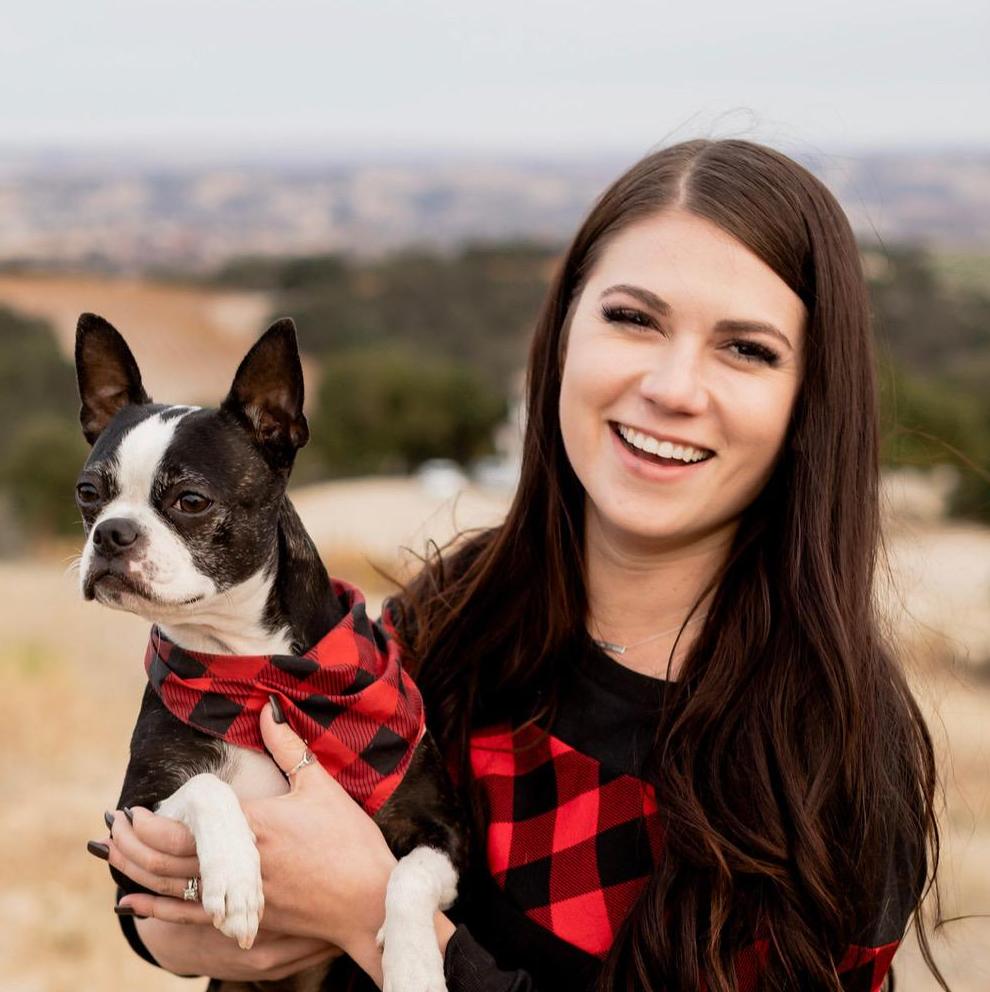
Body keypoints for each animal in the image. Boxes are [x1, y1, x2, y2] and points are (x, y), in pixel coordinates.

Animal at [75, 313, 466, 992]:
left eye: (191, 501)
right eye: (87, 494)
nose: (110, 533)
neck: (253, 668)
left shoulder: (440, 832)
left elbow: (408, 879)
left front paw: (416, 966)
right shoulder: (128, 832)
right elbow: (208, 787)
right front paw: (235, 877)